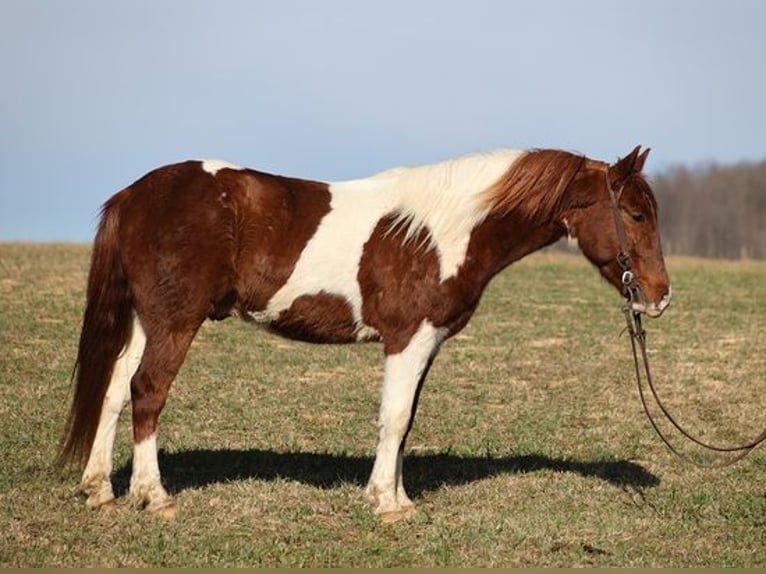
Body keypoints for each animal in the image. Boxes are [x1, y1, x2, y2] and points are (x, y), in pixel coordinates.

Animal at [58, 146, 672, 524]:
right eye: (636, 215)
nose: (660, 295)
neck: (443, 231)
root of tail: (134, 195)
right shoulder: (410, 339)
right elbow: (394, 419)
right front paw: (386, 504)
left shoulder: (425, 343)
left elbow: (406, 421)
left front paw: (397, 496)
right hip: (175, 322)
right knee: (147, 391)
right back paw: (153, 496)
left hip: (146, 320)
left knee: (114, 390)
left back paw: (99, 489)